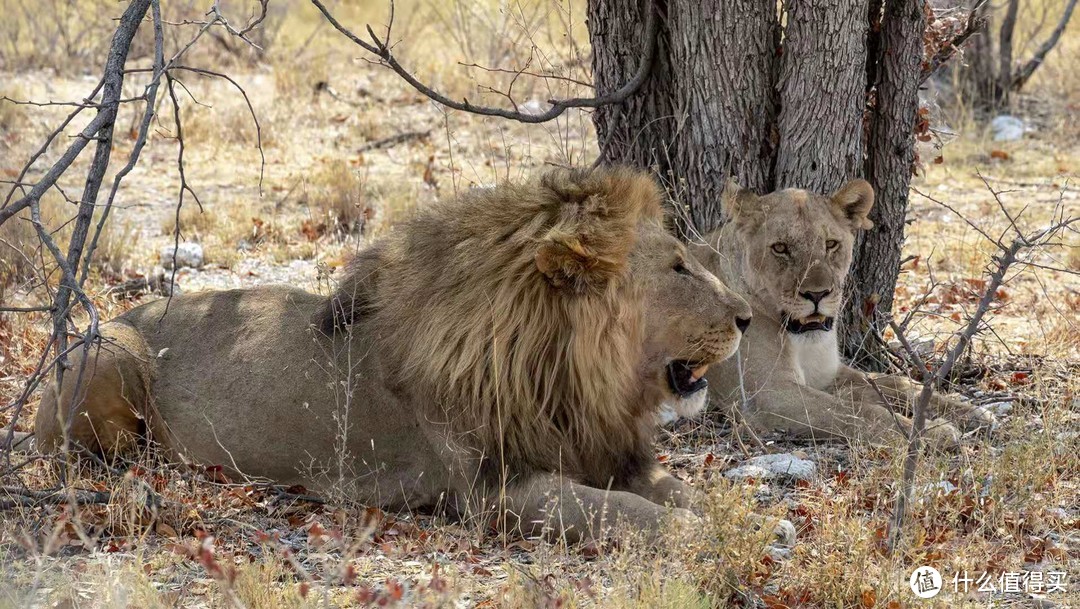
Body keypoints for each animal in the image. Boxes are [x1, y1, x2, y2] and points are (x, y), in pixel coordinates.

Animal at [33, 170, 760, 542]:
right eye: (678, 268)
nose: (749, 317)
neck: (576, 375)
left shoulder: (612, 452)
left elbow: (679, 490)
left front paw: (737, 517)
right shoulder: (496, 490)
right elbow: (620, 511)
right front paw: (697, 537)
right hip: (108, 353)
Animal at [686, 178, 989, 449]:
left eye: (831, 244)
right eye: (780, 248)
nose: (817, 294)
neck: (802, 342)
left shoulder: (827, 374)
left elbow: (897, 383)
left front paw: (972, 413)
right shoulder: (767, 395)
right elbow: (857, 413)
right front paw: (933, 432)